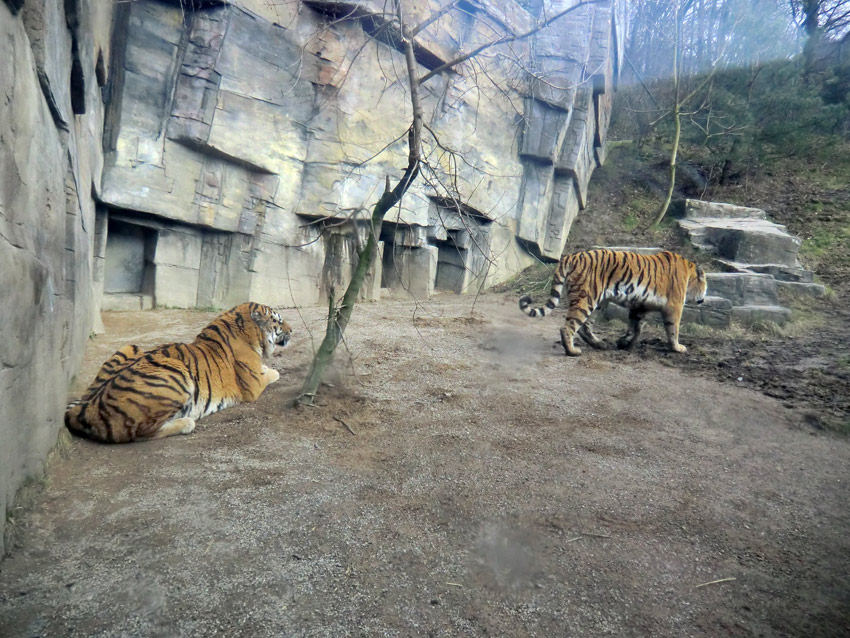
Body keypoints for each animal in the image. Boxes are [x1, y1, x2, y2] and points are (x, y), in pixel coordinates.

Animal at [65, 302, 292, 442]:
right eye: (279, 321)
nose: (292, 330)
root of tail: (86, 406)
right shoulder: (254, 385)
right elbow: (273, 373)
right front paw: (273, 370)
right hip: (177, 372)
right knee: (139, 433)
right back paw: (186, 423)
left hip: (131, 346)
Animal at [516, 250, 708, 358]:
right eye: (706, 285)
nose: (704, 298)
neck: (689, 273)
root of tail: (571, 256)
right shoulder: (674, 306)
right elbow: (673, 329)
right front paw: (678, 348)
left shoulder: (639, 306)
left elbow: (635, 327)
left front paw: (625, 343)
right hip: (586, 299)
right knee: (568, 327)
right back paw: (573, 352)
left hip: (598, 302)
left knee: (584, 327)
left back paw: (599, 344)